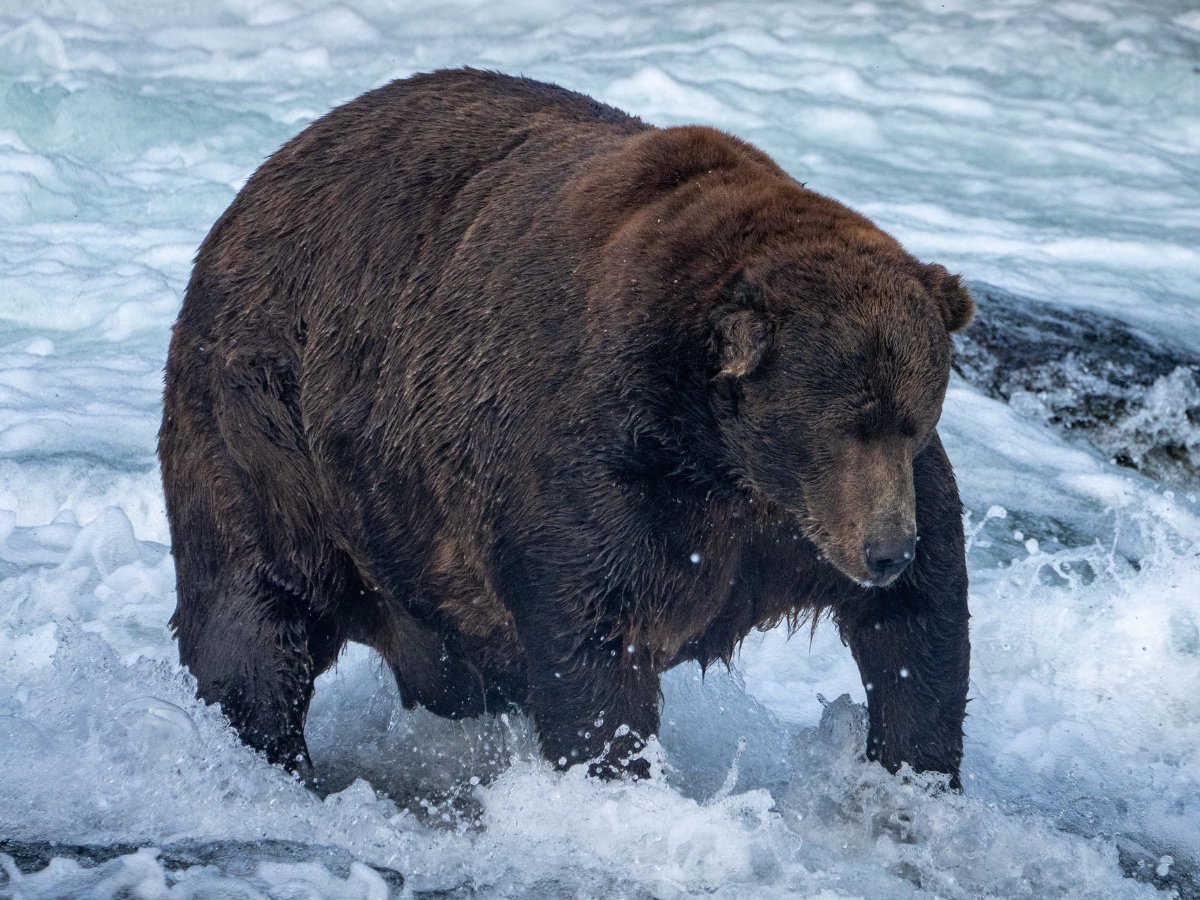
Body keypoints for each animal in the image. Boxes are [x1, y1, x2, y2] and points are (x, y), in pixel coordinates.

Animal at [159, 68, 973, 787]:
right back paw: (272, 754)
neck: (719, 453)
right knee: (257, 608)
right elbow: (594, 637)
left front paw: (913, 773)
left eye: (913, 419)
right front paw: (617, 774)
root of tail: (260, 180)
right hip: (270, 428)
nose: (885, 550)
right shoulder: (603, 467)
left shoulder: (797, 520)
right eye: (842, 425)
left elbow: (921, 623)